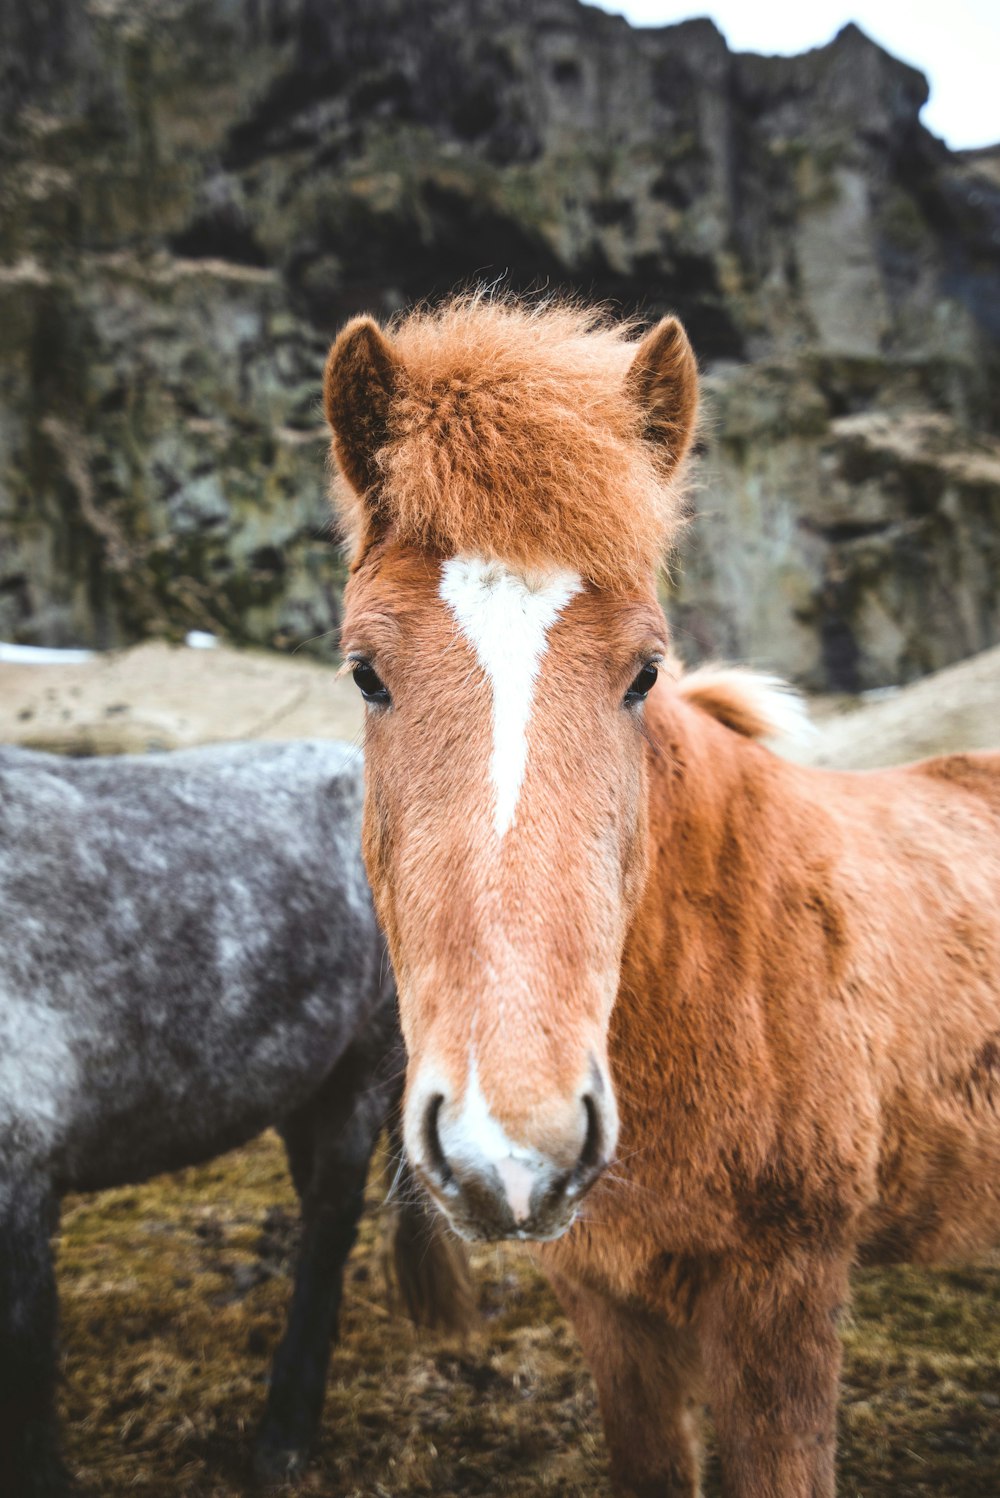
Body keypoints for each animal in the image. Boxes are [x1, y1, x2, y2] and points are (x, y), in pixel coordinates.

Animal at [321, 292, 999, 1498]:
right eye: (365, 671)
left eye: (644, 670)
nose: (514, 1145)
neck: (715, 972)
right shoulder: (605, 1298)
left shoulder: (783, 1301)